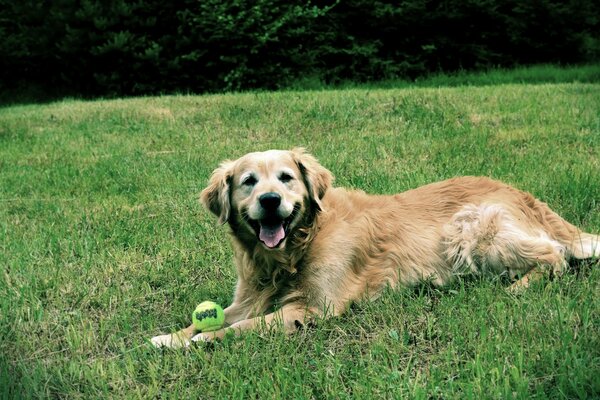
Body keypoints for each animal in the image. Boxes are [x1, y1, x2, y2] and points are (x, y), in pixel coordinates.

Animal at [151, 148, 600, 348]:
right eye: (248, 181)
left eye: (285, 178)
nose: (270, 201)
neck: (294, 249)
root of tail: (523, 194)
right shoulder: (248, 298)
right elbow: (213, 318)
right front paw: (169, 337)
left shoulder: (314, 309)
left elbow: (242, 328)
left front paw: (199, 342)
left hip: (471, 229)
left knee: (555, 257)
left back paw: (518, 287)